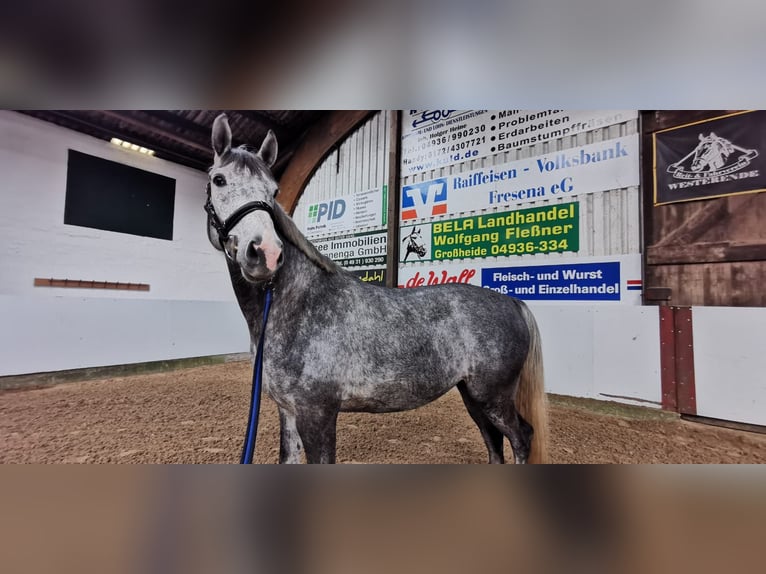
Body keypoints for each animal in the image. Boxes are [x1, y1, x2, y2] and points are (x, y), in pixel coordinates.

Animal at [207, 115, 548, 466]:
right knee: (494, 443)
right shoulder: (287, 411)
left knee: (522, 437)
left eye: (273, 191)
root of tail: (511, 301)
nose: (265, 252)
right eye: (218, 180)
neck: (298, 307)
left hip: (493, 396)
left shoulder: (317, 413)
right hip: (473, 395)